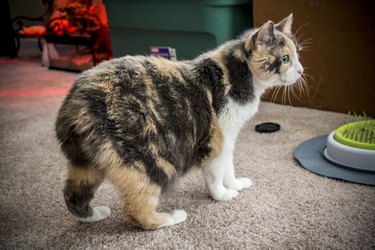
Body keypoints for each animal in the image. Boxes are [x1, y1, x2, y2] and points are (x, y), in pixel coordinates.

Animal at [55, 13, 306, 229]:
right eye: (285, 59)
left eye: (298, 55)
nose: (301, 70)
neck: (239, 76)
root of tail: (74, 102)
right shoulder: (218, 138)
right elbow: (216, 173)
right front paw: (223, 195)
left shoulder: (230, 138)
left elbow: (229, 167)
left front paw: (235, 184)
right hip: (147, 162)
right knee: (136, 211)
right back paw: (173, 217)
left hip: (86, 162)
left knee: (72, 194)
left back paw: (94, 215)